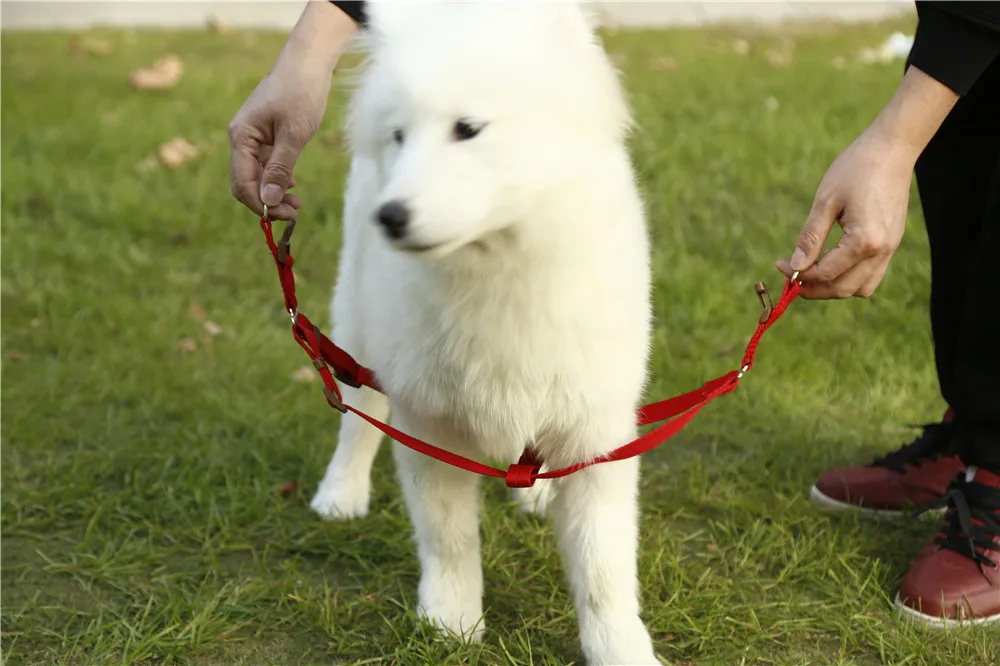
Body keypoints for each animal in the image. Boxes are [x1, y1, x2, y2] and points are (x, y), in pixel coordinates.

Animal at [308, 2, 660, 660]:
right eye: (399, 136)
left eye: (467, 129)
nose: (389, 217)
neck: (496, 271)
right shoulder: (429, 422)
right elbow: (448, 538)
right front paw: (451, 623)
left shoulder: (596, 432)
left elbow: (604, 567)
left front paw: (621, 649)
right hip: (358, 322)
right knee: (355, 417)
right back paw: (340, 494)